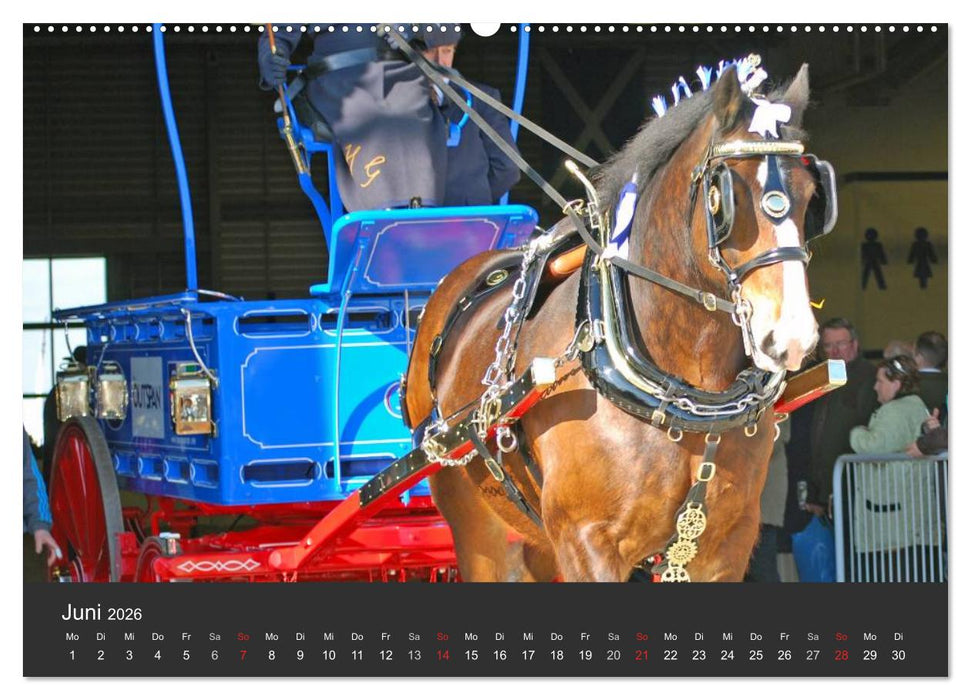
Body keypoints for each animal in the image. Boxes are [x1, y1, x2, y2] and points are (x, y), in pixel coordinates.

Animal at [403, 60, 831, 582]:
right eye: (724, 197)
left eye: (811, 197)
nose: (792, 334)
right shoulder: (587, 541)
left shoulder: (724, 547)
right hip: (478, 529)